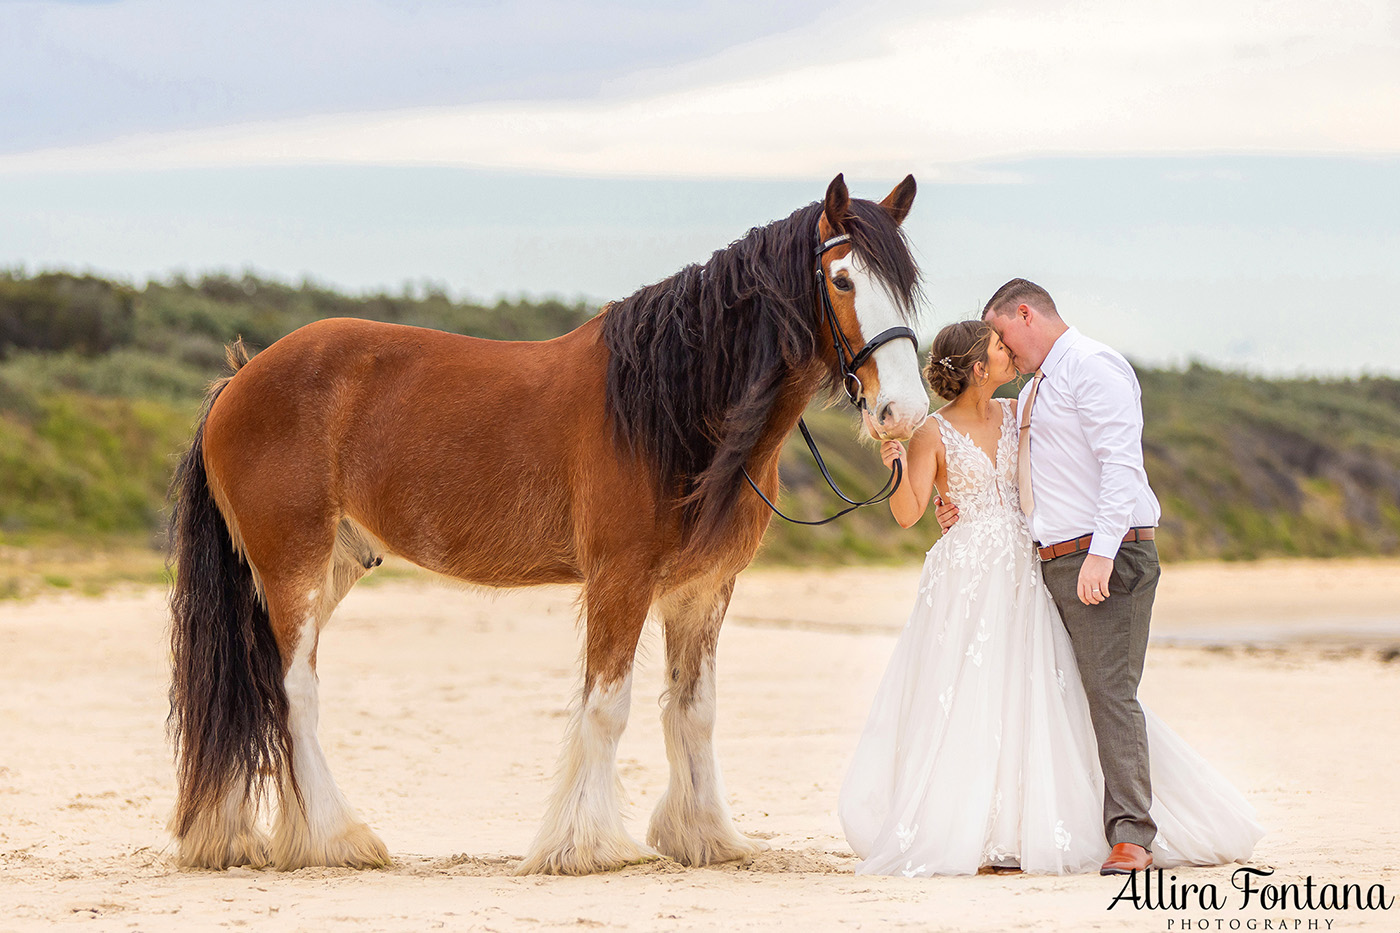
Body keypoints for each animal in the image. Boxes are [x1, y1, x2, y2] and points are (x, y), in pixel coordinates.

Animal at [166, 168, 929, 874]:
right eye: (841, 280)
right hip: (292, 563)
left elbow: (694, 709)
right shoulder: (621, 578)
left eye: (908, 286)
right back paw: (336, 838)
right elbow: (607, 707)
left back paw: (241, 836)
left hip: (330, 567)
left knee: (258, 686)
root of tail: (238, 381)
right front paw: (588, 846)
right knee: (294, 692)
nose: (904, 413)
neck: (669, 407)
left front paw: (705, 836)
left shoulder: (703, 588)